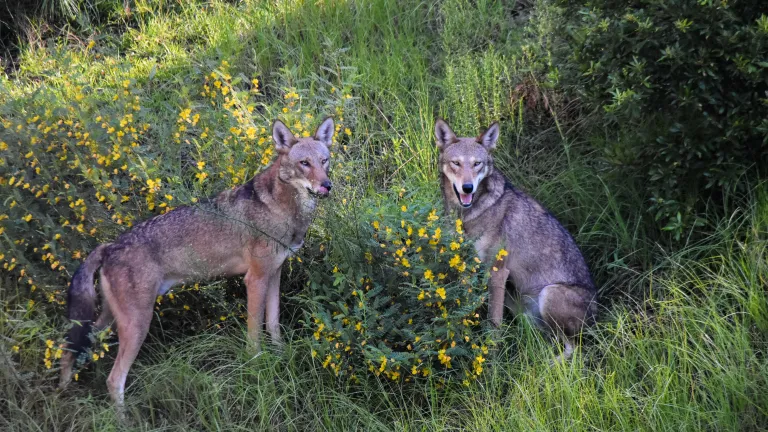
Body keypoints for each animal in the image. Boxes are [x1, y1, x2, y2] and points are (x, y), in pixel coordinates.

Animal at [59, 117, 335, 407]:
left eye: (324, 160)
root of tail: (109, 246)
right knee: (114, 380)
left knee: (70, 350)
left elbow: (273, 325)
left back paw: (61, 394)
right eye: (304, 163)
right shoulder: (255, 279)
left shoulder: (274, 274)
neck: (282, 209)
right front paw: (257, 366)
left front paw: (281, 356)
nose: (327, 185)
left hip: (108, 322)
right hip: (137, 324)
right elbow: (254, 335)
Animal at [434, 119, 597, 361]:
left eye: (477, 164)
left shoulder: (497, 272)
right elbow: (466, 310)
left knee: (574, 349)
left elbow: (493, 326)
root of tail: (599, 315)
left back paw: (546, 364)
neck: (469, 214)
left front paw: (490, 361)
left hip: (549, 294)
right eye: (456, 163)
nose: (467, 187)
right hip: (521, 309)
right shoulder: (466, 268)